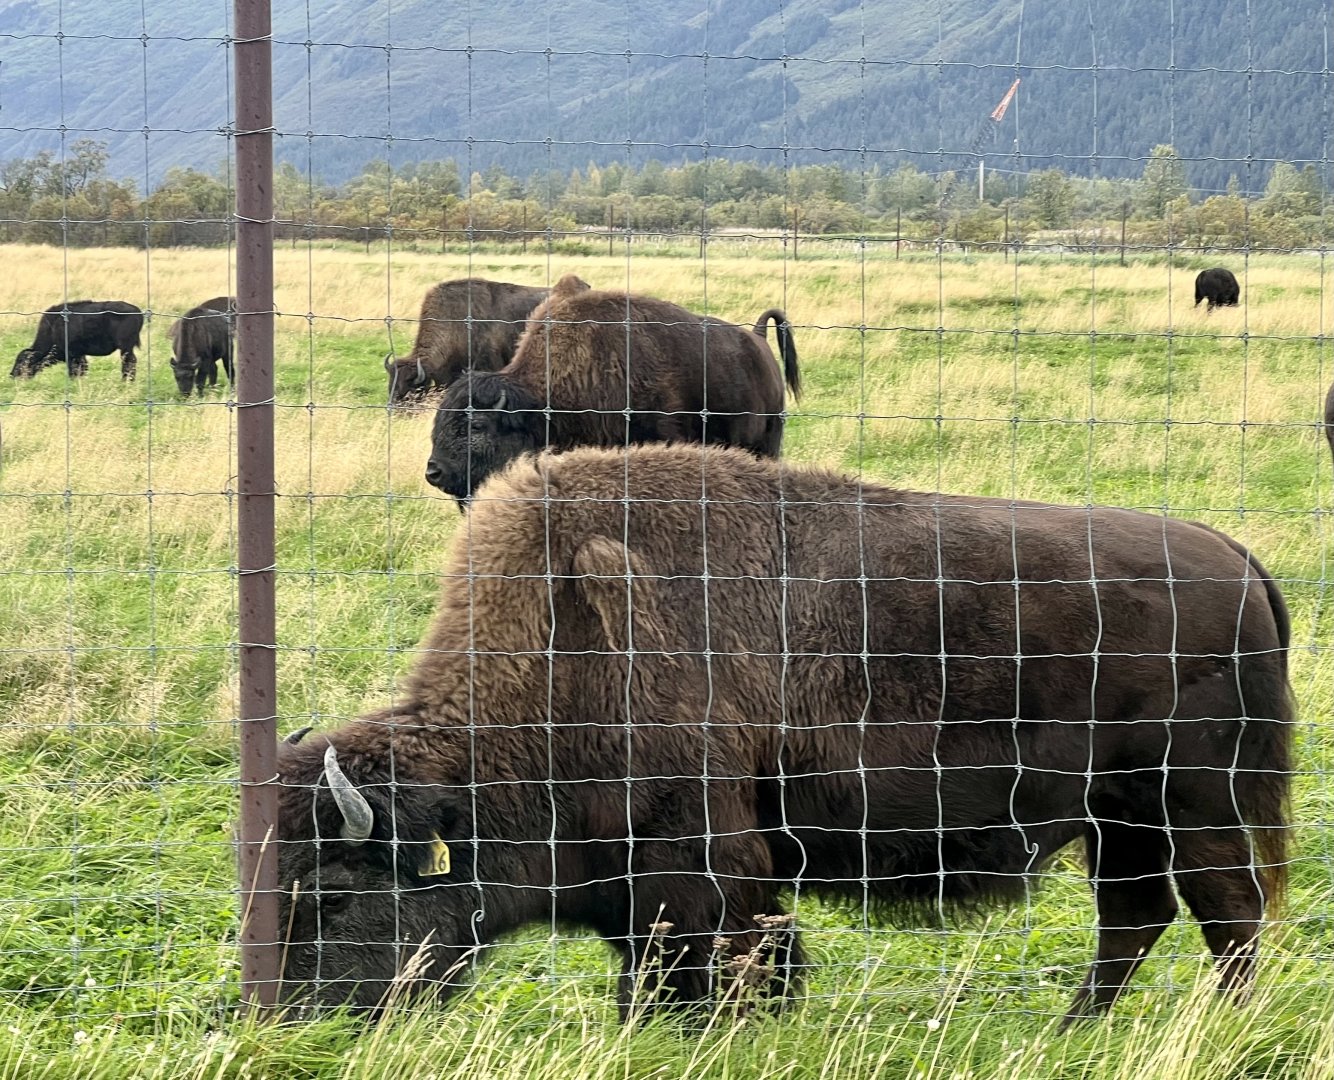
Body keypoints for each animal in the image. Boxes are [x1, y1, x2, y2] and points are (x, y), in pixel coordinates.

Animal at [10, 300, 143, 380]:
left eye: (22, 361)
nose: (12, 375)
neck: (52, 329)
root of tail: (137, 311)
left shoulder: (73, 355)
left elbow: (74, 371)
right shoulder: (80, 355)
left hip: (125, 347)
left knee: (129, 362)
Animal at [277, 443, 1292, 1025]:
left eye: (331, 894)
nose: (290, 1016)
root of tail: (1234, 557)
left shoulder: (698, 861)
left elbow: (719, 954)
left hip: (1187, 801)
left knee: (1225, 911)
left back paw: (1219, 1027)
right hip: (1118, 817)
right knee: (1139, 916)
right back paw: (1074, 1026)